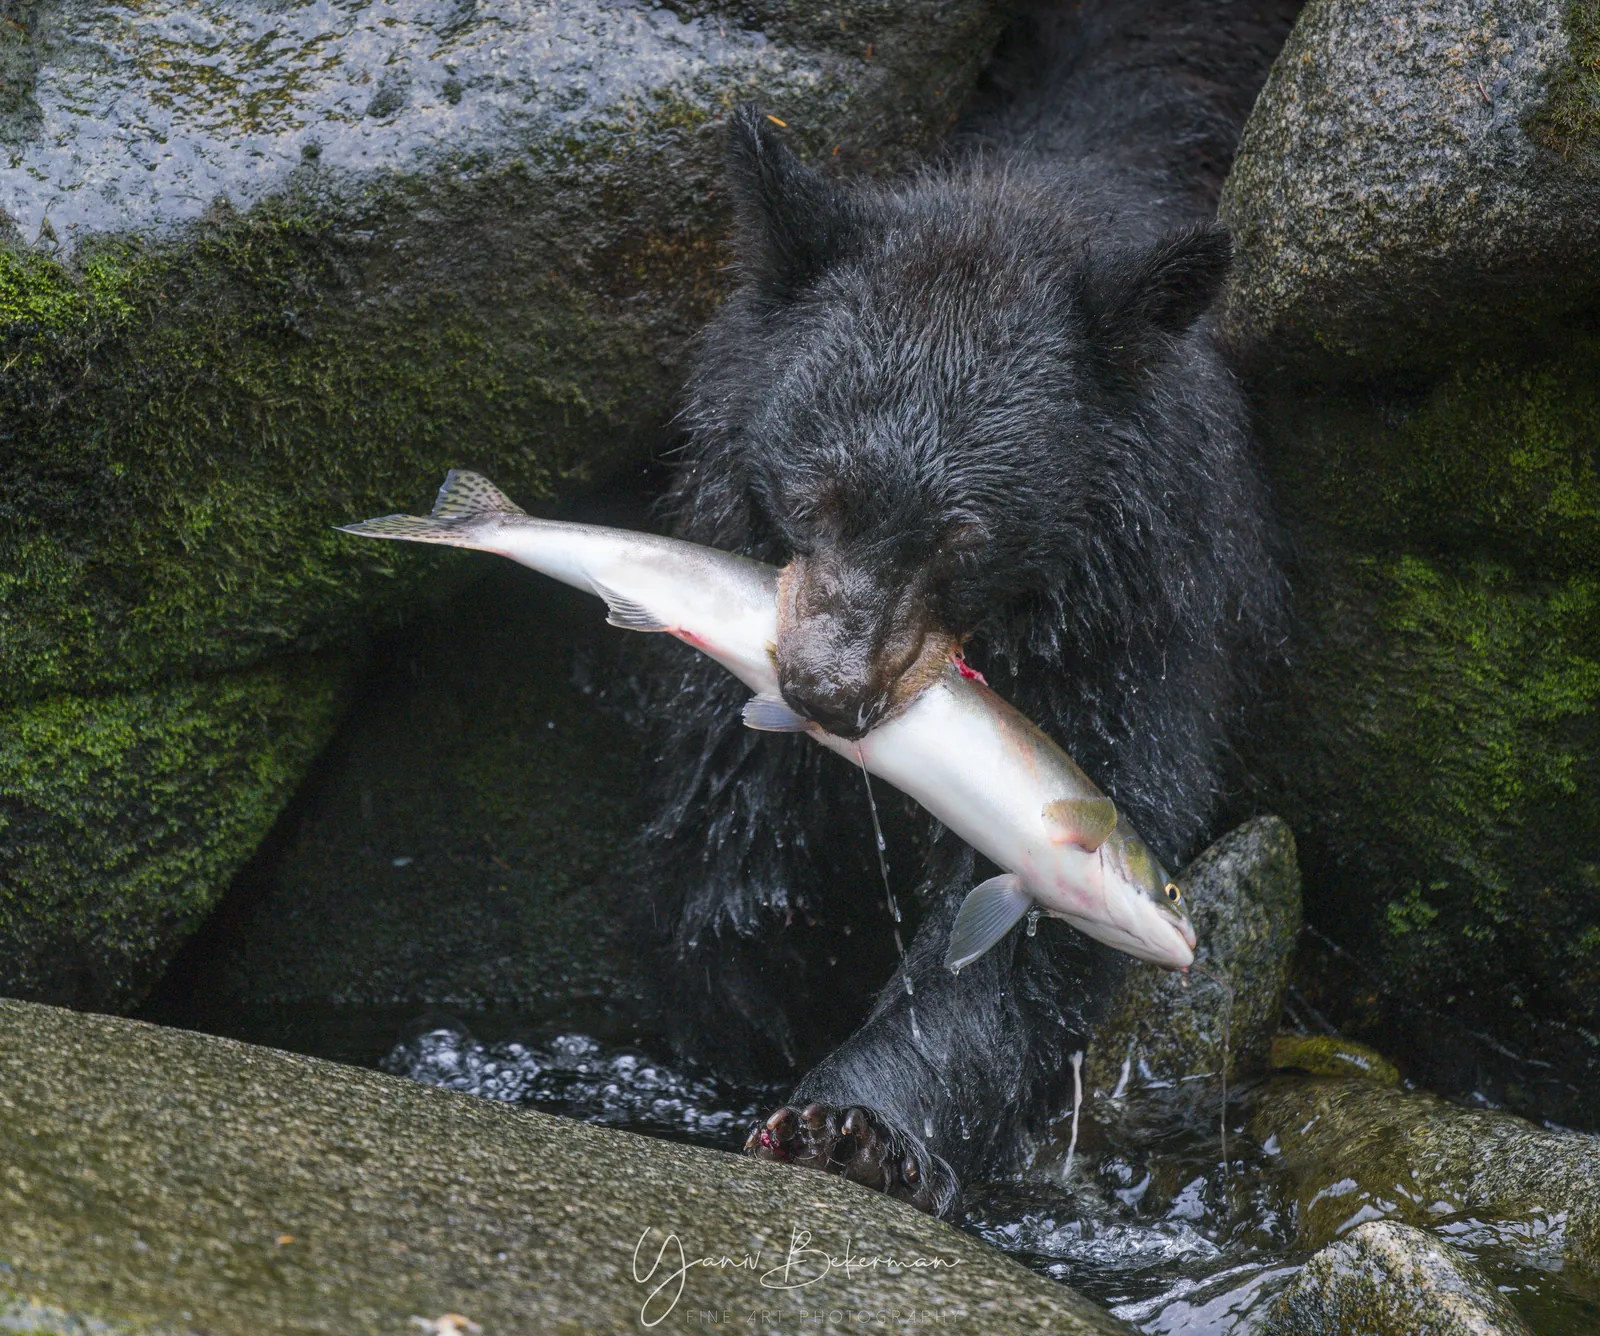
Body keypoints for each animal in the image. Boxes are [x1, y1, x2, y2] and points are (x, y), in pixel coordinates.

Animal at [634, 0, 1295, 1213]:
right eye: (813, 493)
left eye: (963, 537)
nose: (828, 692)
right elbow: (727, 832)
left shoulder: (1139, 615)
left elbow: (1032, 922)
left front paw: (851, 1124)